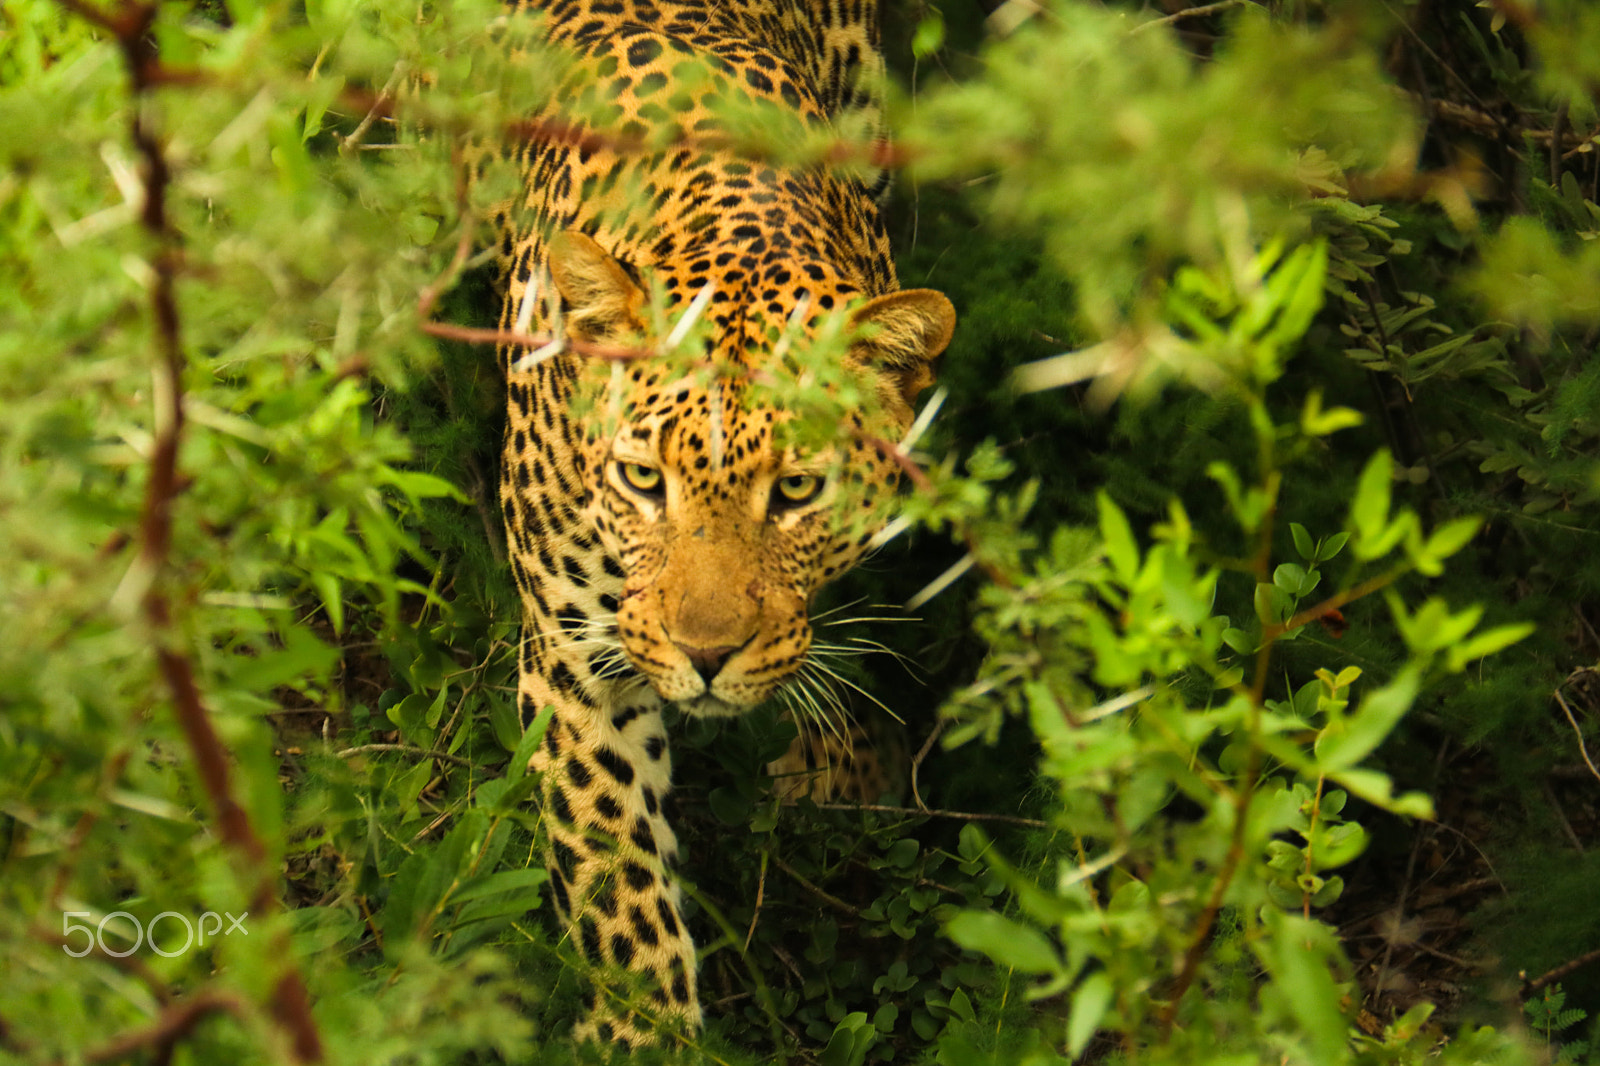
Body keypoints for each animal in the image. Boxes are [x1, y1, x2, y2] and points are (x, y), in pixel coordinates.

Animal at [492, 0, 955, 1046]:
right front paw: (643, 1039)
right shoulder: (575, 660)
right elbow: (616, 885)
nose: (704, 656)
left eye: (796, 493)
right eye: (642, 479)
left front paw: (847, 762)